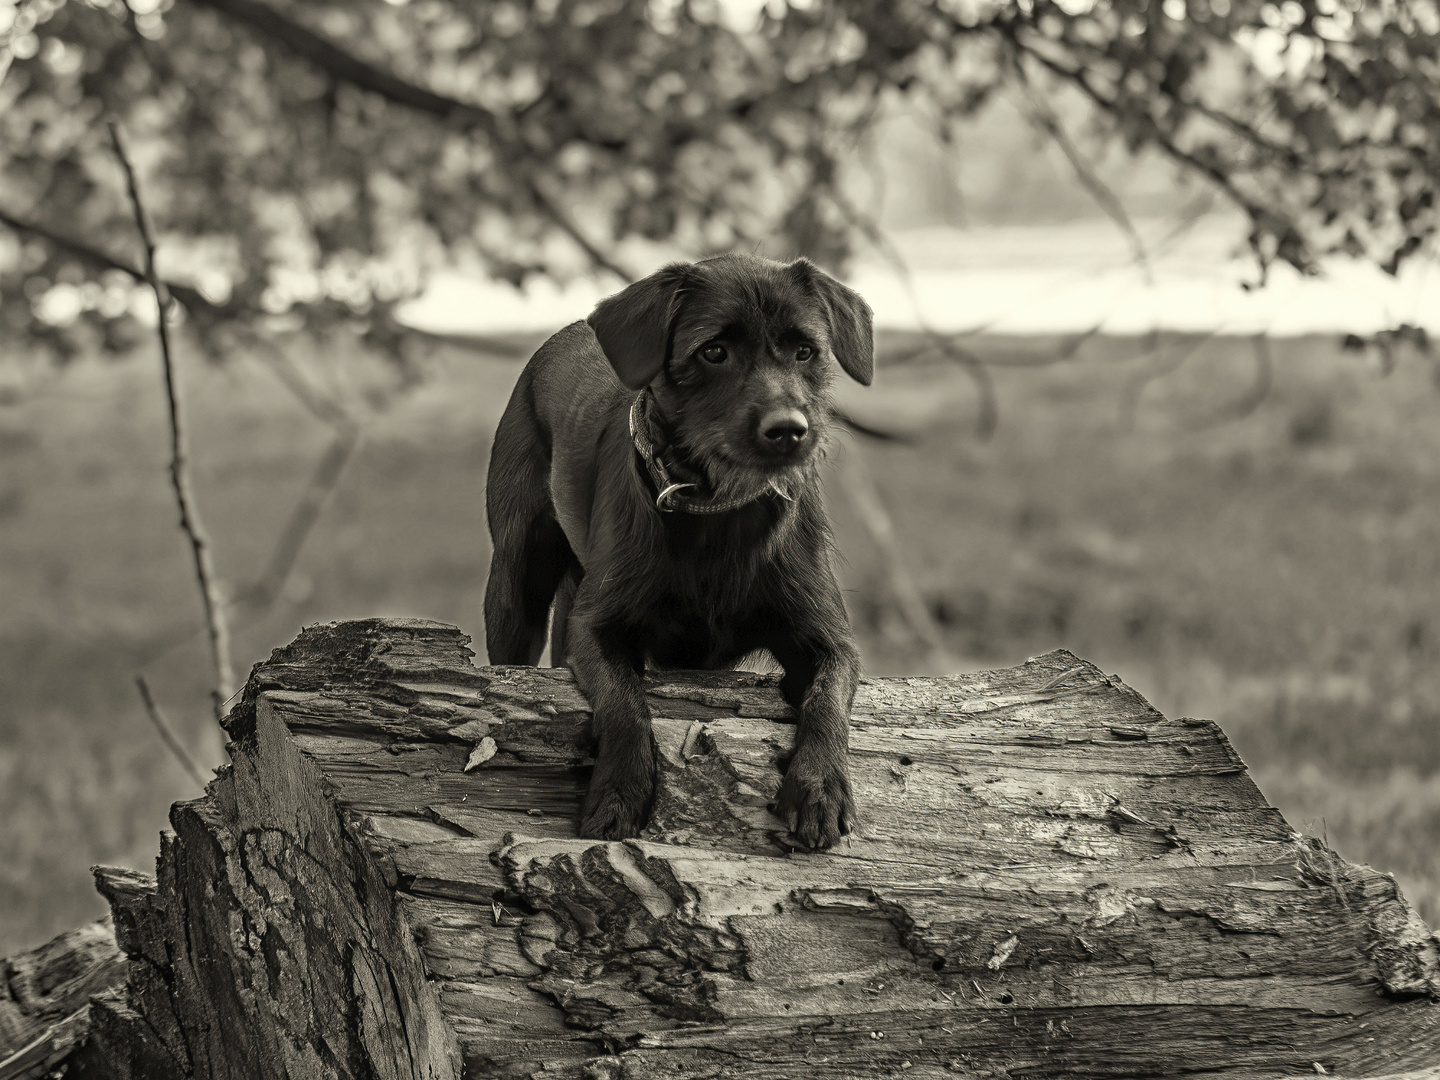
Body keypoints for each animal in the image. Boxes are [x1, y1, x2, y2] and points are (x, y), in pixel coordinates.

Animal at [483, 253, 869, 852]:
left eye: (806, 351)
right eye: (714, 352)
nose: (789, 430)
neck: (721, 514)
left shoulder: (828, 640)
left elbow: (829, 698)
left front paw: (820, 787)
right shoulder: (595, 627)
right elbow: (625, 703)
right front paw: (620, 792)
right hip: (516, 576)